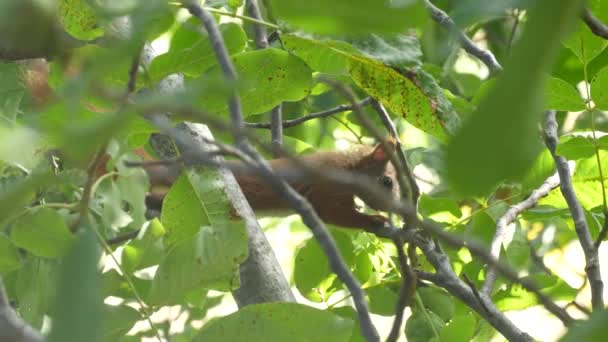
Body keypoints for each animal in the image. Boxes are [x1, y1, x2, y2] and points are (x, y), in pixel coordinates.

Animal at [142, 140, 400, 231]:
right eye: (388, 182)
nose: (397, 208)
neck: (348, 169)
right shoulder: (326, 189)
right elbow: (332, 213)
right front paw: (373, 219)